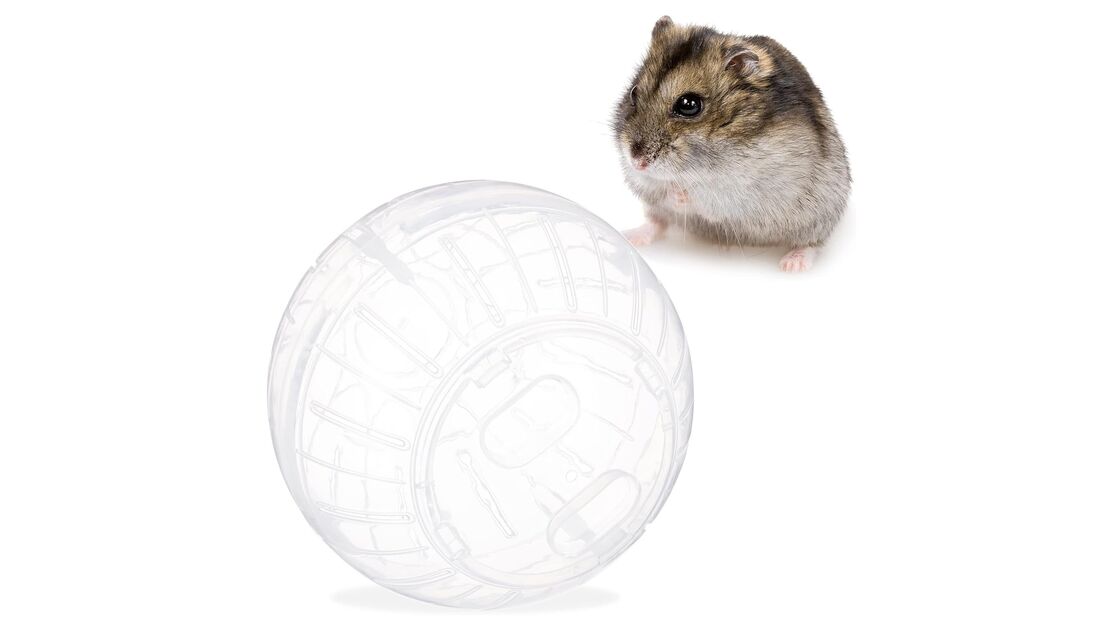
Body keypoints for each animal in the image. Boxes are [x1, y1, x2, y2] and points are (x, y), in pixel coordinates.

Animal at [614, 17, 850, 272]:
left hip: (819, 216)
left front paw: (680, 193)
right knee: (658, 222)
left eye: (689, 104)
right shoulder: (641, 181)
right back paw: (630, 237)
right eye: (633, 93)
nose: (637, 161)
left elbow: (702, 196)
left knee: (812, 243)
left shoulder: (742, 189)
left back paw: (792, 264)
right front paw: (669, 190)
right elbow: (655, 190)